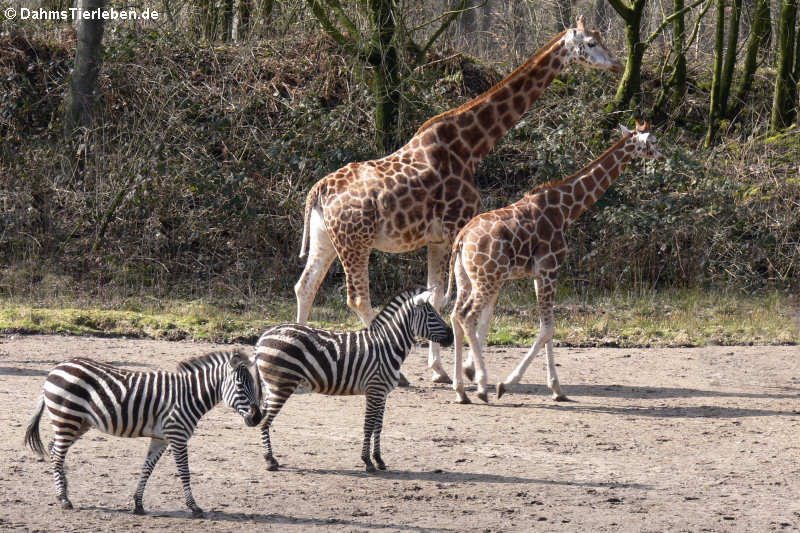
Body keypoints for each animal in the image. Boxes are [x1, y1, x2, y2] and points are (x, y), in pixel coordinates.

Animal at [24, 350, 262, 516]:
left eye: (254, 385)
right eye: (240, 385)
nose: (257, 418)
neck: (188, 395)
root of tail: (57, 367)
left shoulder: (161, 438)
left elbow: (147, 468)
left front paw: (138, 504)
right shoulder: (177, 435)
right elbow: (184, 472)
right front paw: (194, 507)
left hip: (78, 422)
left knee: (55, 449)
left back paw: (63, 491)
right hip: (67, 417)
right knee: (57, 454)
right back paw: (64, 498)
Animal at [256, 288, 456, 472]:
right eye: (432, 314)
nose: (452, 336)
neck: (387, 346)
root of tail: (263, 336)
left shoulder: (382, 393)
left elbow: (378, 426)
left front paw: (379, 460)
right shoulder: (374, 390)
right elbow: (368, 426)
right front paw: (367, 461)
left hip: (272, 385)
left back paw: (268, 457)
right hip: (282, 384)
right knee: (265, 421)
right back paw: (270, 461)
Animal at [296, 15, 624, 382]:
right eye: (591, 43)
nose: (617, 64)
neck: (471, 147)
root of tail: (318, 192)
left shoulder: (438, 238)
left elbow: (436, 295)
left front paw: (440, 368)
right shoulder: (456, 227)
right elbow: (457, 298)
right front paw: (458, 367)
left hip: (327, 237)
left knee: (306, 285)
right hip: (356, 241)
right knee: (356, 298)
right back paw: (397, 373)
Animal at [446, 121, 664, 404]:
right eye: (653, 141)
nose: (662, 155)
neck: (566, 210)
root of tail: (461, 238)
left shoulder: (539, 275)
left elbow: (548, 328)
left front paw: (557, 389)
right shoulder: (550, 269)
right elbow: (548, 329)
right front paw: (506, 384)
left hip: (466, 278)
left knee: (455, 315)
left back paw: (461, 390)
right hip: (488, 278)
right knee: (468, 316)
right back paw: (481, 386)